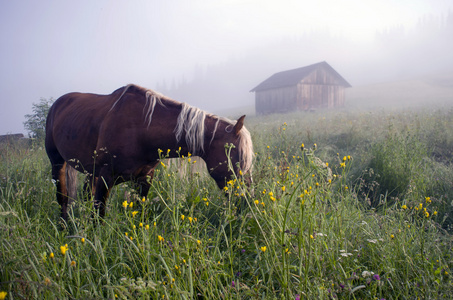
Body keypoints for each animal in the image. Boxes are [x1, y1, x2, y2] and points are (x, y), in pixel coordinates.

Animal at [45, 84, 252, 220]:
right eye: (238, 158)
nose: (247, 202)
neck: (141, 128)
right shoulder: (105, 178)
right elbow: (99, 215)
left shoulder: (144, 178)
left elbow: (139, 212)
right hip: (58, 163)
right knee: (62, 197)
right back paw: (64, 226)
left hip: (90, 171)